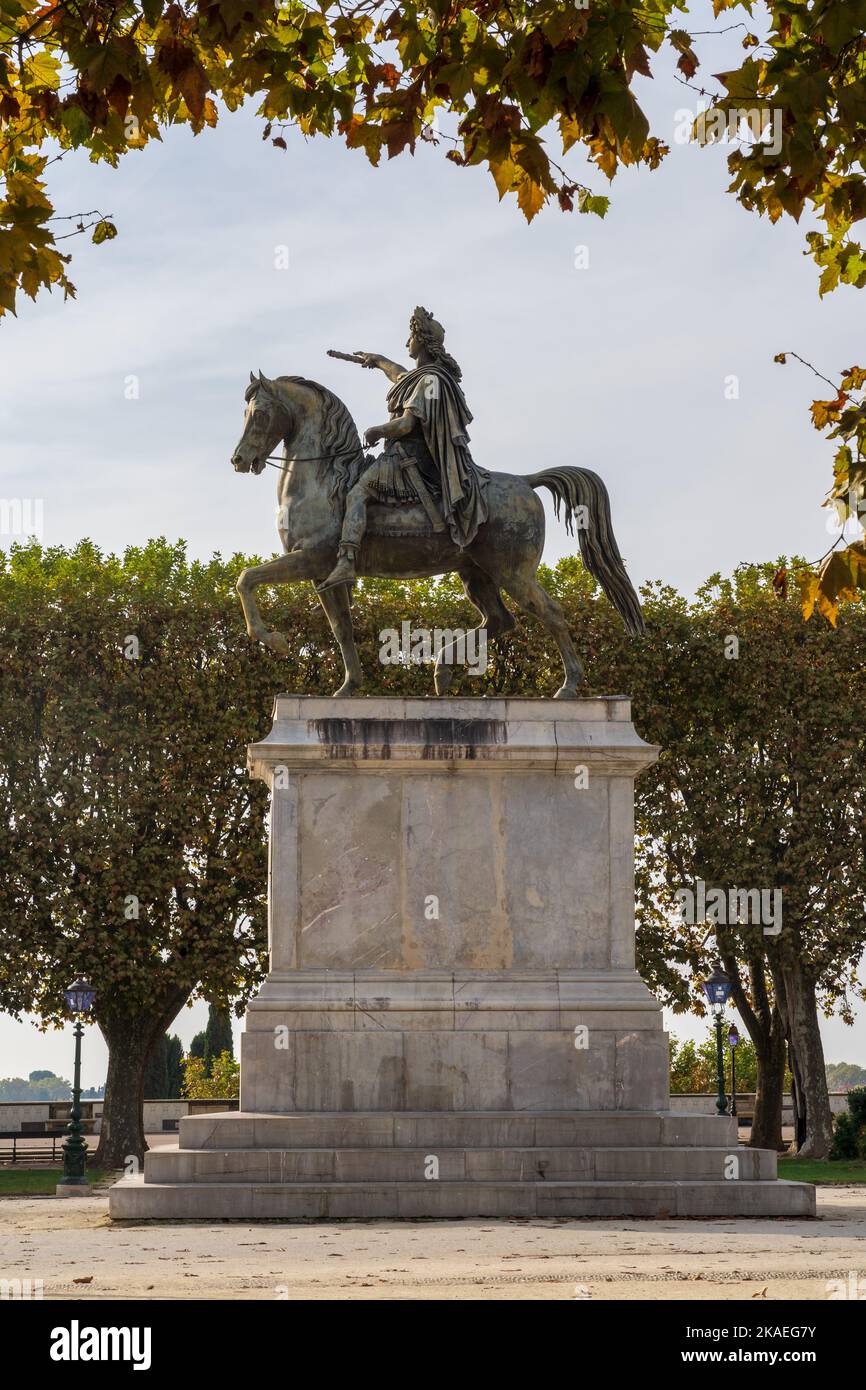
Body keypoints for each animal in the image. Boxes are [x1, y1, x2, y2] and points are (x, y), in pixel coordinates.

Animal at [230, 372, 644, 700]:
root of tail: (525, 482)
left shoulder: (311, 559)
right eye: (244, 413)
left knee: (551, 614)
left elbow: (246, 579)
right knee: (500, 620)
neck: (324, 478)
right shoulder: (322, 575)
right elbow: (341, 629)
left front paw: (273, 639)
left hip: (513, 572)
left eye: (260, 414)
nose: (238, 460)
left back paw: (568, 687)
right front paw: (348, 687)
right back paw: (442, 670)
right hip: (476, 573)